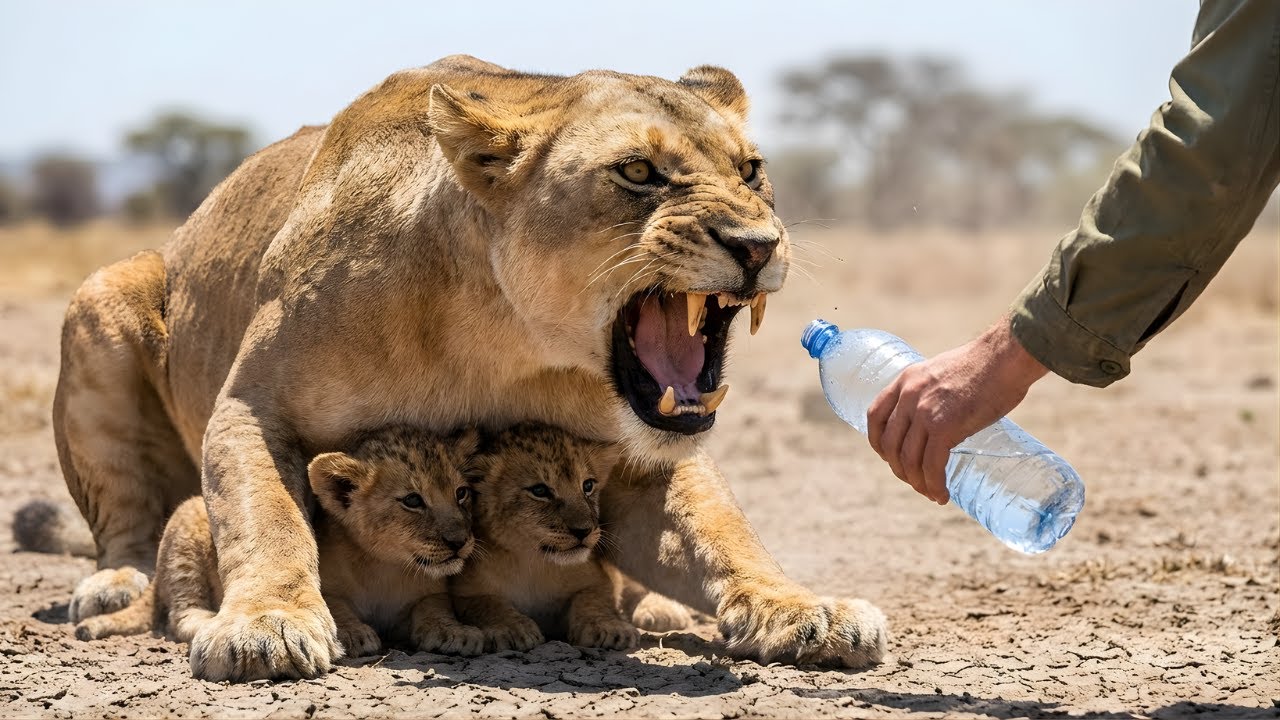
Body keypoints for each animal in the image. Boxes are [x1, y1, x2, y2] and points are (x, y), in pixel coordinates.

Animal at [75, 426, 485, 659]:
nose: (460, 541)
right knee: (180, 616)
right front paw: (353, 634)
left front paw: (457, 633)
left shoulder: (429, 593)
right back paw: (210, 621)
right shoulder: (323, 585)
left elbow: (434, 607)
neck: (387, 566)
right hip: (185, 534)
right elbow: (335, 605)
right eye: (413, 500)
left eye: (461, 493)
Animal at [444, 422, 636, 652]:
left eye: (588, 486)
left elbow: (593, 599)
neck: (534, 563)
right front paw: (512, 629)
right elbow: (488, 603)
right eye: (539, 490)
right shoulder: (464, 592)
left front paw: (609, 628)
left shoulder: (597, 577)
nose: (584, 531)